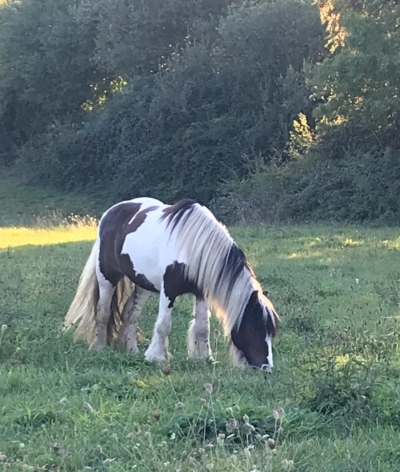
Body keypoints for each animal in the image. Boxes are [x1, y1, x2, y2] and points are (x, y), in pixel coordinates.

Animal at [64, 197, 280, 370]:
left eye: (272, 331)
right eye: (255, 327)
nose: (266, 368)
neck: (193, 246)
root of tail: (111, 212)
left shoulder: (201, 292)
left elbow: (203, 327)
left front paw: (204, 358)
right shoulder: (168, 290)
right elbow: (163, 325)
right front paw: (156, 357)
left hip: (142, 284)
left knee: (130, 314)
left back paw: (131, 351)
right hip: (106, 276)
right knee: (103, 312)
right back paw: (99, 348)